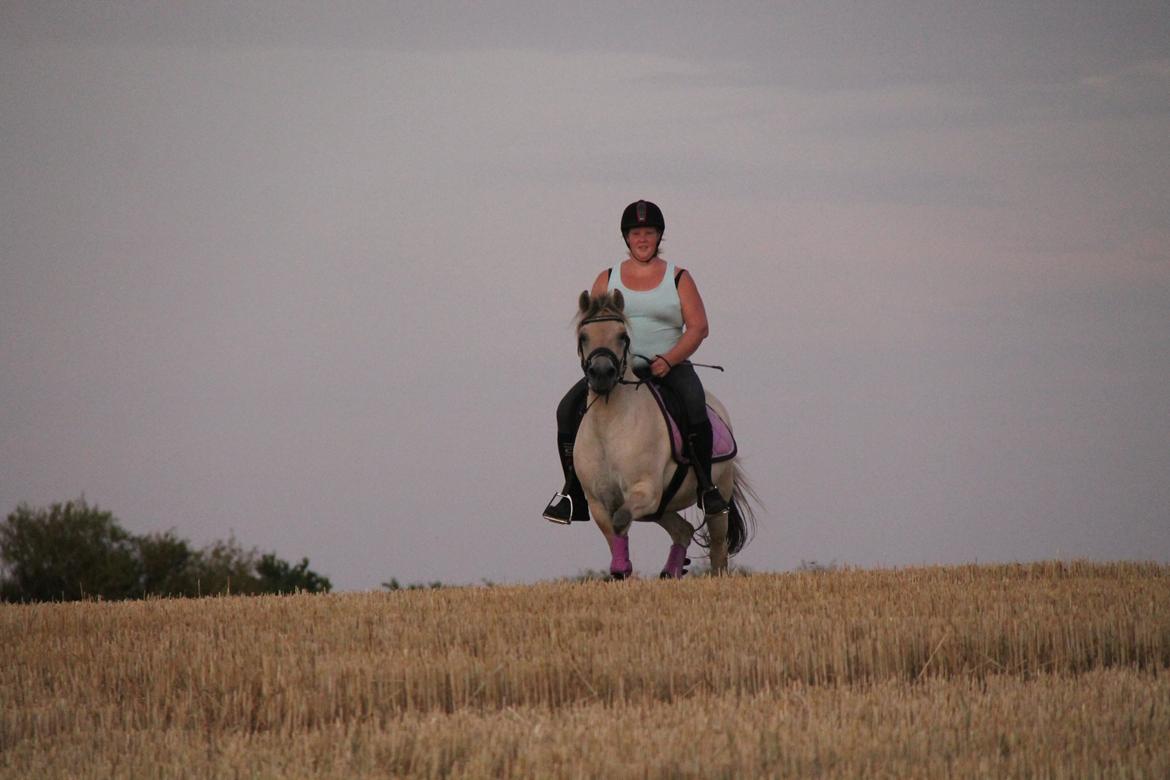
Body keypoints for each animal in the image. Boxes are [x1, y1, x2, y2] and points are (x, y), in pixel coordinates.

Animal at [570, 290, 753, 577]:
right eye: (583, 336)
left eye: (622, 335)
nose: (601, 374)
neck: (609, 427)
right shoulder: (598, 501)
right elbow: (613, 531)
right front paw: (620, 570)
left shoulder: (646, 490)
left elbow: (621, 521)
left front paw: (624, 568)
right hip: (661, 507)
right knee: (683, 530)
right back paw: (672, 570)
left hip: (718, 494)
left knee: (718, 548)